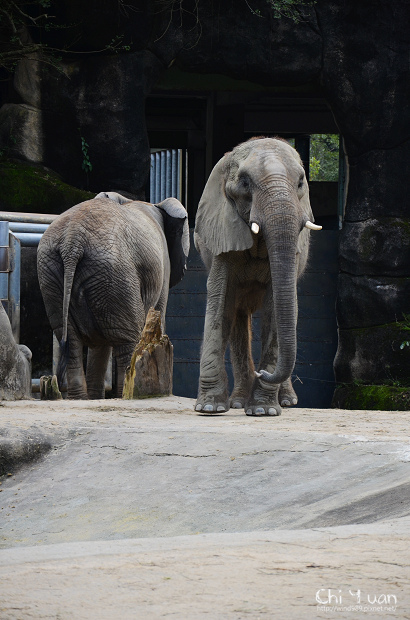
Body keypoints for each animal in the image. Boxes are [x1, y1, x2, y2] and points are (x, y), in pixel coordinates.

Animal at [36, 191, 189, 400]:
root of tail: (72, 241)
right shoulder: (162, 267)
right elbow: (159, 311)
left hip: (54, 271)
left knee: (71, 340)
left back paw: (82, 399)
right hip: (114, 272)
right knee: (128, 341)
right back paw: (125, 395)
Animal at [194, 136, 322, 416]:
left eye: (300, 183)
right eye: (244, 182)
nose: (262, 373)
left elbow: (276, 307)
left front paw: (264, 410)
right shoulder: (222, 228)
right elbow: (220, 301)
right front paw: (209, 407)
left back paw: (286, 402)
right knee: (236, 315)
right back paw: (238, 402)